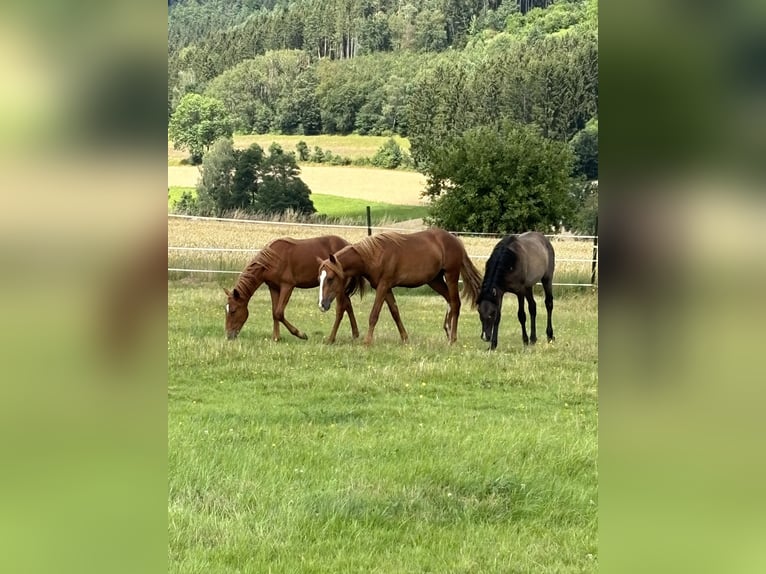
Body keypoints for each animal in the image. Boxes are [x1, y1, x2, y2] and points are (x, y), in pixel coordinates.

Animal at [225, 236, 364, 344]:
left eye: (233, 311)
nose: (228, 335)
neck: (272, 259)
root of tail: (350, 245)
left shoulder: (287, 286)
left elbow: (279, 313)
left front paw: (300, 334)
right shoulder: (273, 288)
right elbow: (274, 312)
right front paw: (276, 338)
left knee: (342, 307)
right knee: (348, 305)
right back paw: (355, 334)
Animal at [316, 228, 480, 346]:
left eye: (330, 278)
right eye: (320, 278)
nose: (322, 305)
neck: (373, 255)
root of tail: (455, 240)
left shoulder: (383, 286)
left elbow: (374, 315)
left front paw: (367, 342)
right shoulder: (386, 288)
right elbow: (395, 312)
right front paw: (405, 338)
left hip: (451, 275)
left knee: (455, 303)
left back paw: (452, 338)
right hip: (435, 280)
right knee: (449, 301)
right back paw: (447, 331)